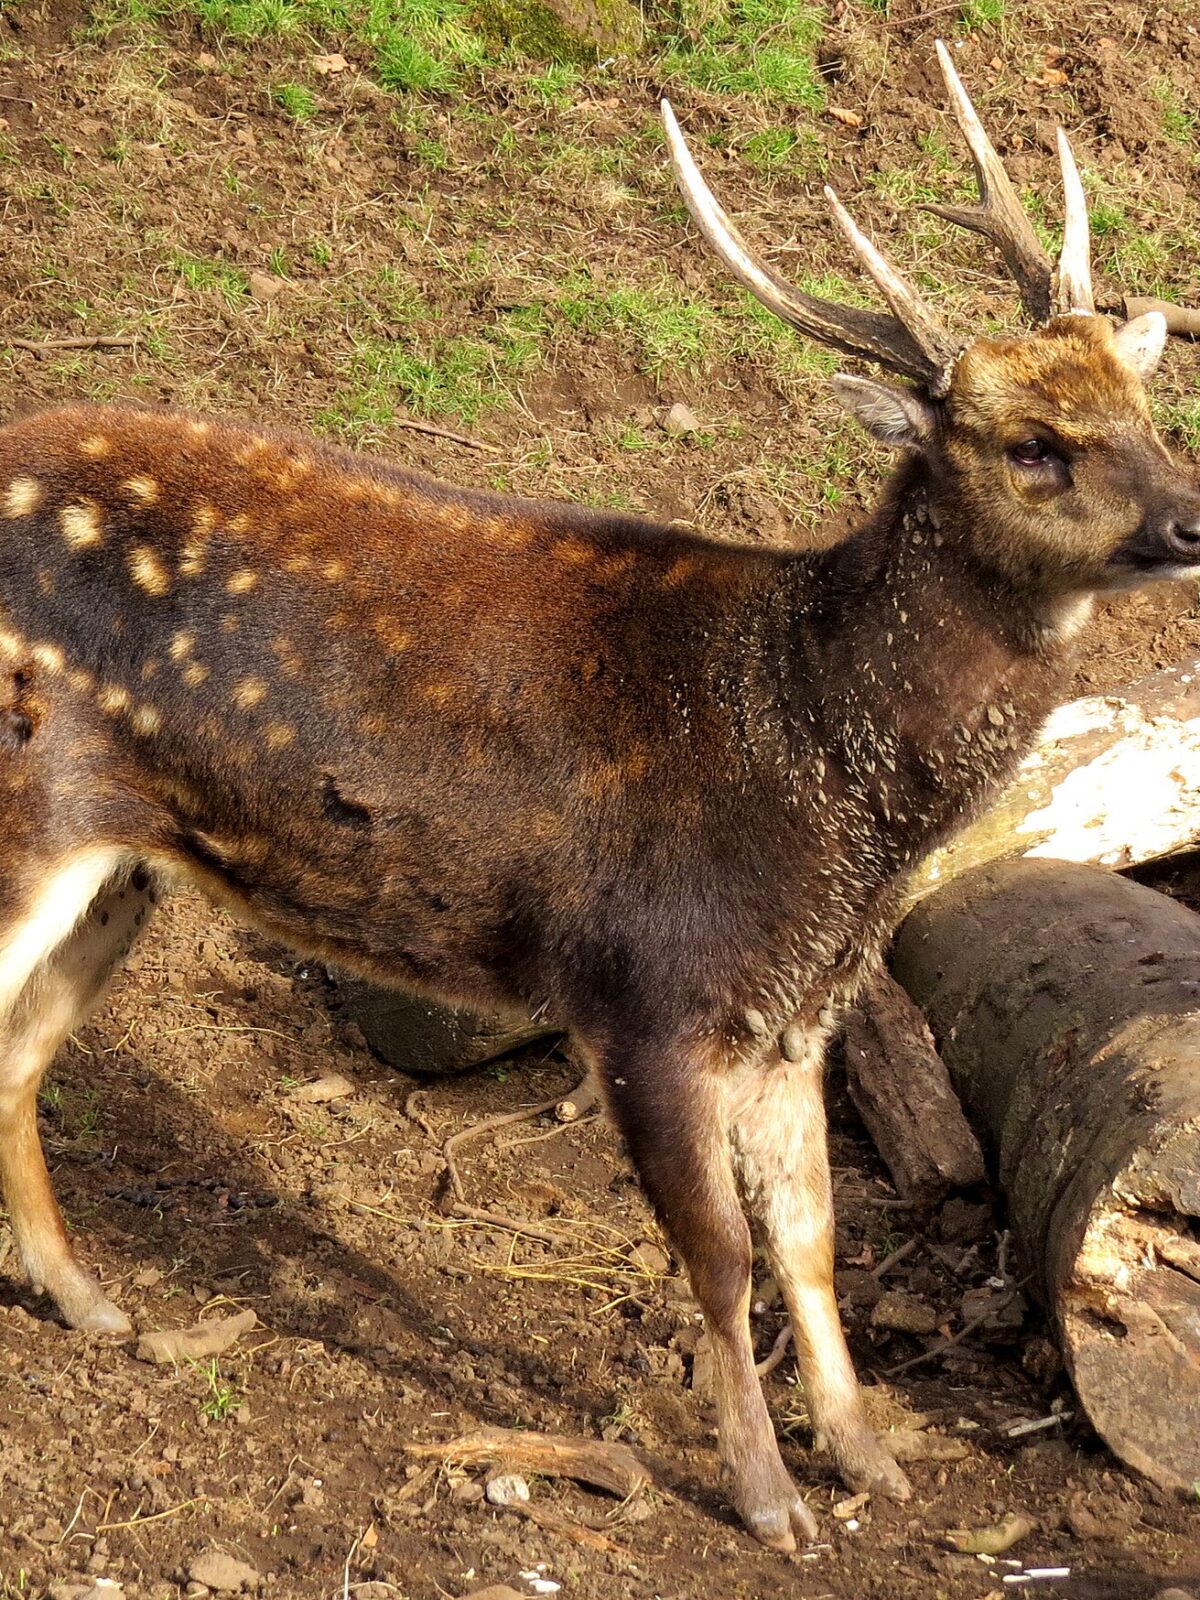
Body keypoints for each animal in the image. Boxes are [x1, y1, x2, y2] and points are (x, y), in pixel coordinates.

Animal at [0, 40, 1197, 1551]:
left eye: (1143, 407)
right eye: (1032, 443)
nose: (1191, 518)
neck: (817, 774)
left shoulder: (795, 1015)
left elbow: (812, 1236)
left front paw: (869, 1458)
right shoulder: (644, 991)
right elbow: (720, 1255)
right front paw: (766, 1501)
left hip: (121, 865)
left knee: (21, 1049)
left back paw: (94, 1301)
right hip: (24, 818)